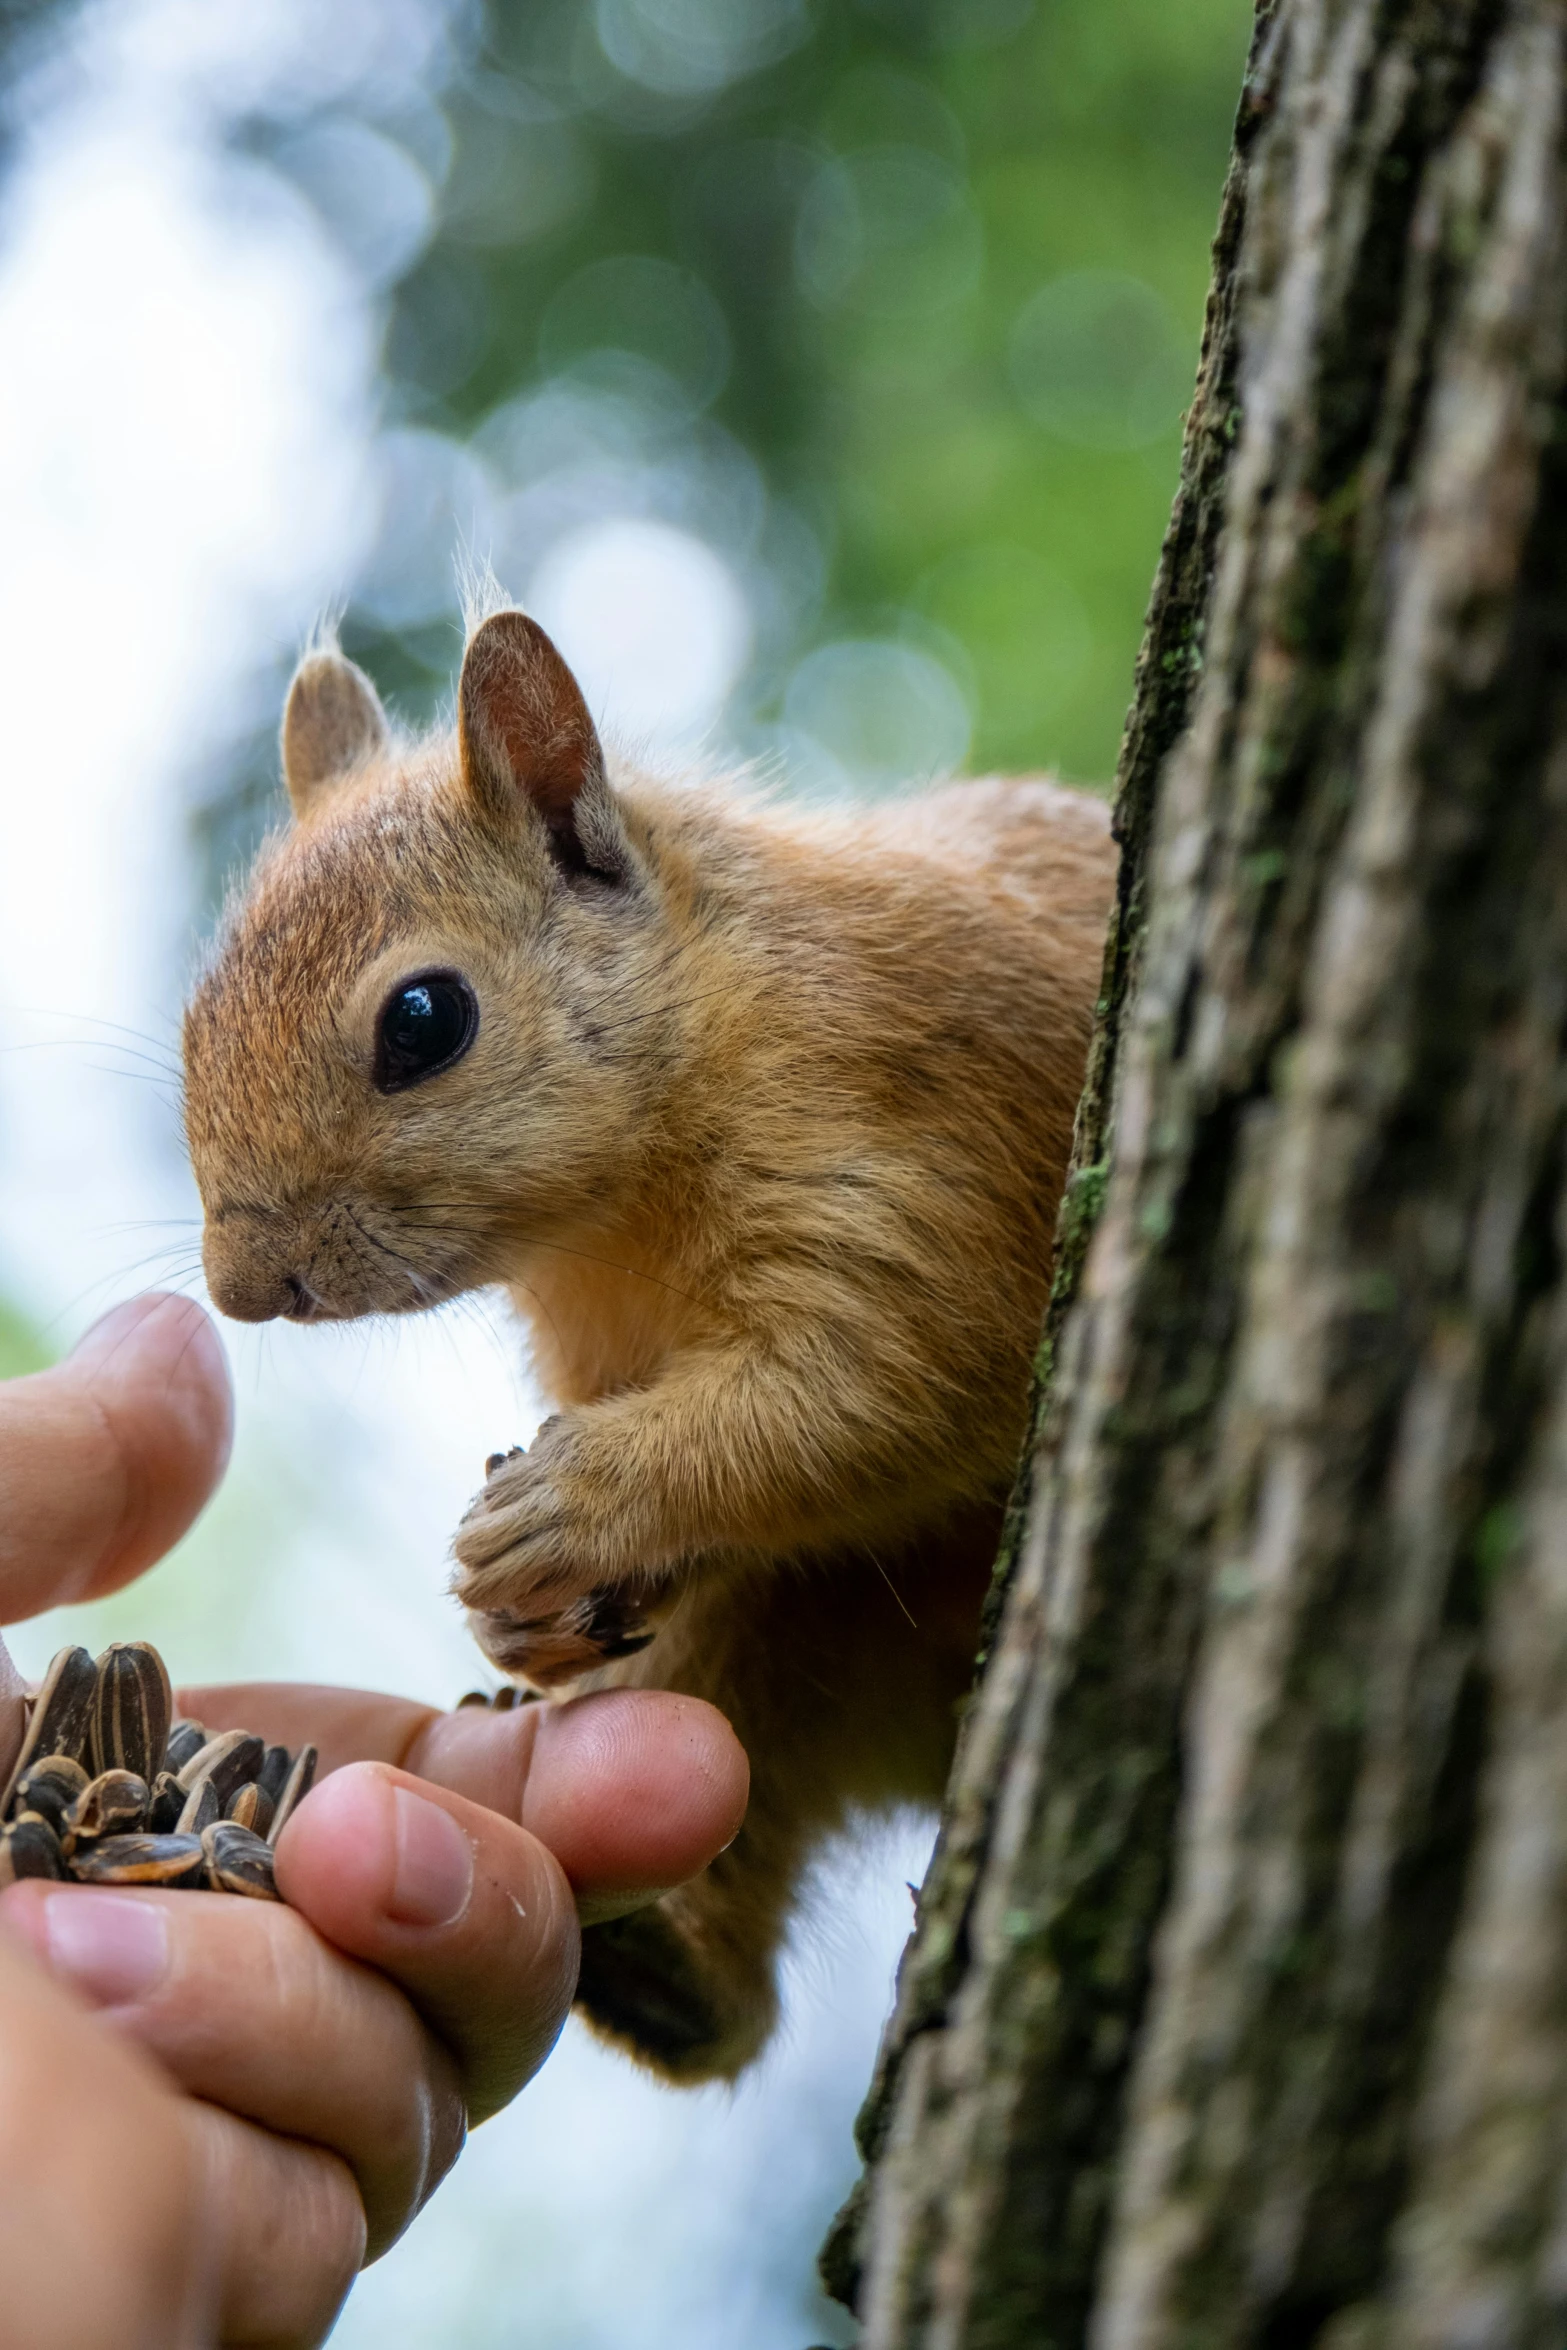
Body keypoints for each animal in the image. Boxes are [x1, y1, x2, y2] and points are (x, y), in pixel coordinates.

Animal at [180, 601, 1113, 2077]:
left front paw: (566, 1507)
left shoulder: (924, 1162)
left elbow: (875, 1387)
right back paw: (657, 1965)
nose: (242, 1285)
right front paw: (525, 1619)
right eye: (196, 1013)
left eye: (423, 1020)